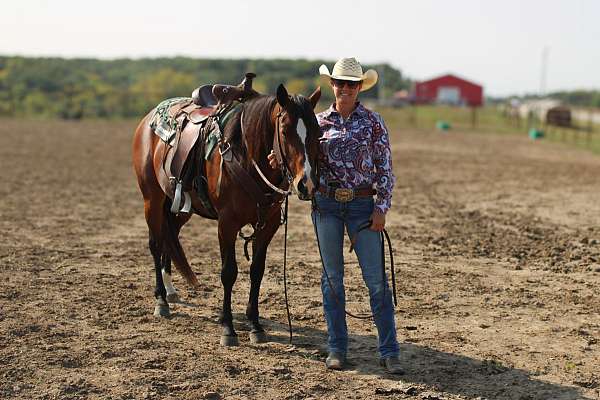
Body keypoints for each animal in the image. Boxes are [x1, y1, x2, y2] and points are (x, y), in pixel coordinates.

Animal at [131, 83, 318, 346]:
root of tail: (148, 119)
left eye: (317, 131)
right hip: (152, 199)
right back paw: (161, 300)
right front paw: (228, 328)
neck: (245, 155)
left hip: (181, 206)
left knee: (170, 236)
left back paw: (170, 290)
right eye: (285, 130)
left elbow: (257, 271)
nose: (306, 184)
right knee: (156, 243)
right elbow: (229, 273)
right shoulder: (227, 224)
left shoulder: (268, 224)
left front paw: (255, 325)